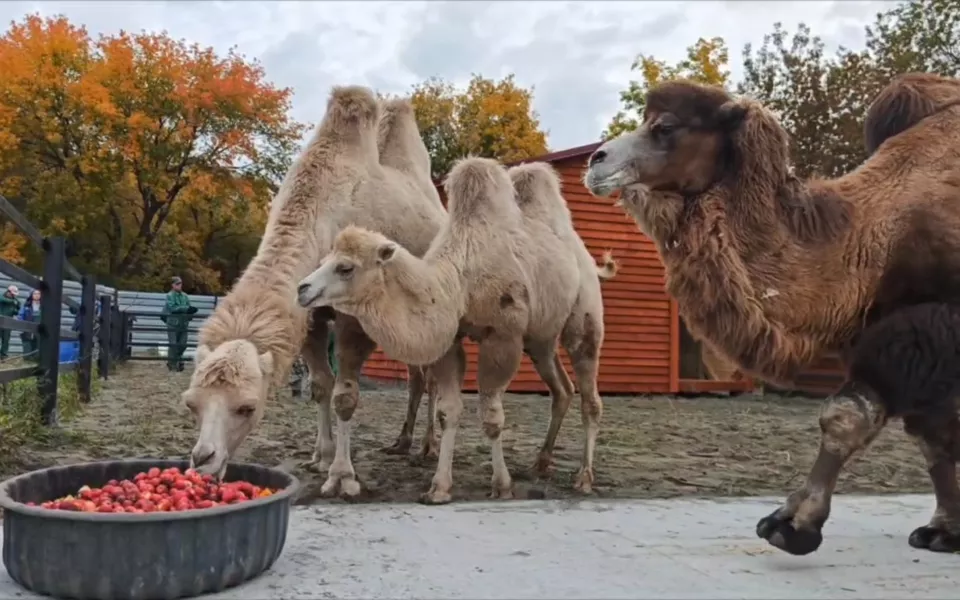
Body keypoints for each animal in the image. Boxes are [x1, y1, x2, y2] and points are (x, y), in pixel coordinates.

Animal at [182, 85, 448, 496]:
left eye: (247, 407)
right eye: (191, 404)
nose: (203, 461)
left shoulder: (353, 317)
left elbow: (345, 396)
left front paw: (341, 476)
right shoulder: (308, 313)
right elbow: (321, 386)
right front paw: (320, 457)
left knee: (432, 377)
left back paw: (427, 448)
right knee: (416, 378)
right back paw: (401, 443)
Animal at [580, 72, 956, 556]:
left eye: (665, 126)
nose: (595, 161)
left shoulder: (930, 327)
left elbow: (847, 415)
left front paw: (792, 523)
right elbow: (934, 437)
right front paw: (943, 531)